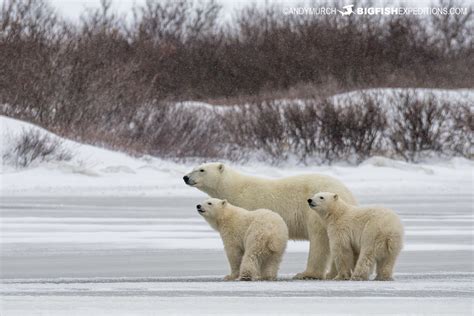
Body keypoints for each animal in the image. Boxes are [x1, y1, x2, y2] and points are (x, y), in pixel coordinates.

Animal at [183, 163, 358, 278]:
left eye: (201, 170)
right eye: (194, 167)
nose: (185, 177)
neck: (234, 188)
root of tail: (347, 193)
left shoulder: (247, 205)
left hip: (316, 210)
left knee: (319, 240)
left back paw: (307, 273)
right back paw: (331, 273)